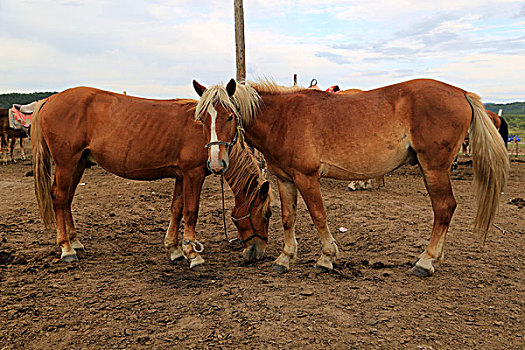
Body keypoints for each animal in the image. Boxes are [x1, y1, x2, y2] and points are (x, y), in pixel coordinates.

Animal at [30, 88, 272, 270]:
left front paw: (174, 249)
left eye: (231, 117)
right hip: (65, 163)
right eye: (267, 214)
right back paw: (66, 248)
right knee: (60, 199)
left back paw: (75, 241)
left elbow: (177, 209)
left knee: (67, 200)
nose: (257, 252)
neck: (203, 134)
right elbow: (191, 211)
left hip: (78, 164)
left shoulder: (181, 176)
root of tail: (49, 99)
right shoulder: (193, 174)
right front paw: (193, 254)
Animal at [192, 78, 508, 278]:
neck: (283, 117)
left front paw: (326, 258)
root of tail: (462, 93)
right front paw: (285, 258)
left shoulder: (307, 177)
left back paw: (426, 262)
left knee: (444, 209)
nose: (216, 163)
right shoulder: (285, 178)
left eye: (229, 116)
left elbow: (319, 215)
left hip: (434, 167)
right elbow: (288, 218)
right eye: (202, 119)